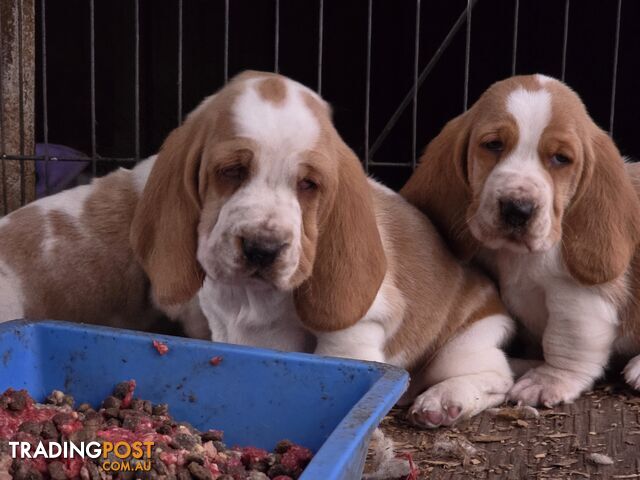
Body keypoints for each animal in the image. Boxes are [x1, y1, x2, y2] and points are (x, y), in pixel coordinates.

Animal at [131, 71, 516, 428]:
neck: (253, 295)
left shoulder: (353, 336)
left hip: (465, 344)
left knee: (498, 379)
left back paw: (445, 400)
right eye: (232, 171)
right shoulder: (222, 326)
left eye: (308, 184)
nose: (263, 249)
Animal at [402, 73, 640, 406]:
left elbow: (566, 344)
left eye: (561, 158)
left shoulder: (578, 300)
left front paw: (547, 382)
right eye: (493, 144)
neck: (516, 256)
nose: (518, 209)